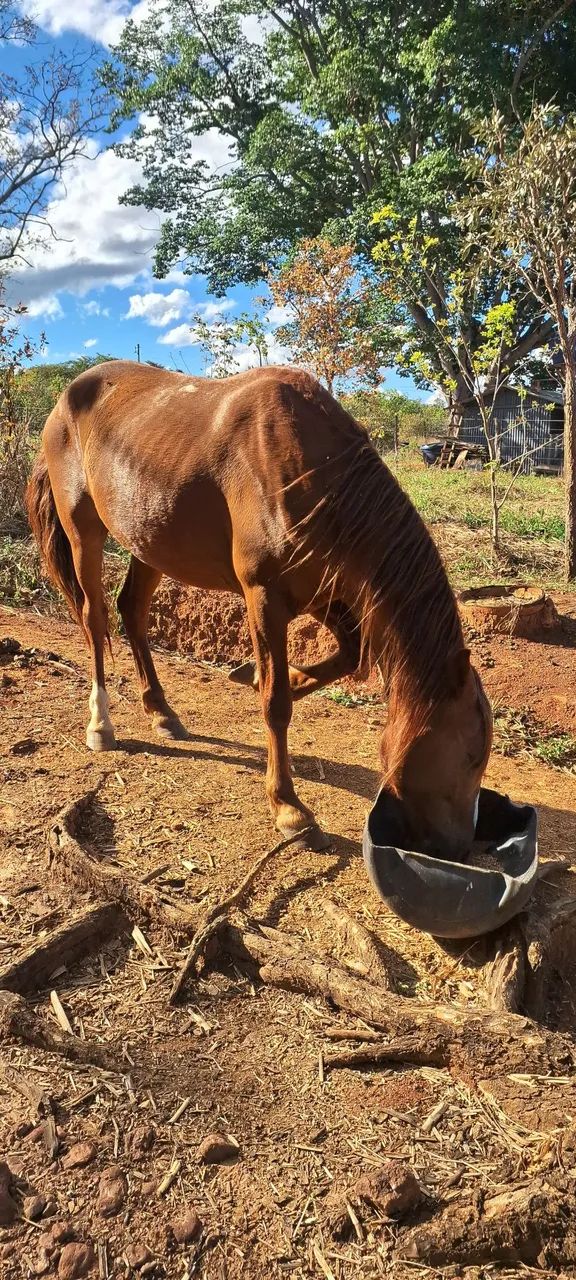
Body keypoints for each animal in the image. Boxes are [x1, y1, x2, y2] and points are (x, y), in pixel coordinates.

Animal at [26, 360, 492, 854]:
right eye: (472, 753)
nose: (462, 847)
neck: (315, 472)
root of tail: (66, 397)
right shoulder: (265, 596)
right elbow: (277, 703)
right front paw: (289, 809)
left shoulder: (317, 591)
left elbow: (351, 656)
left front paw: (257, 675)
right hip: (84, 533)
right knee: (95, 620)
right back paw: (101, 723)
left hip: (149, 541)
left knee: (131, 610)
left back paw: (162, 712)